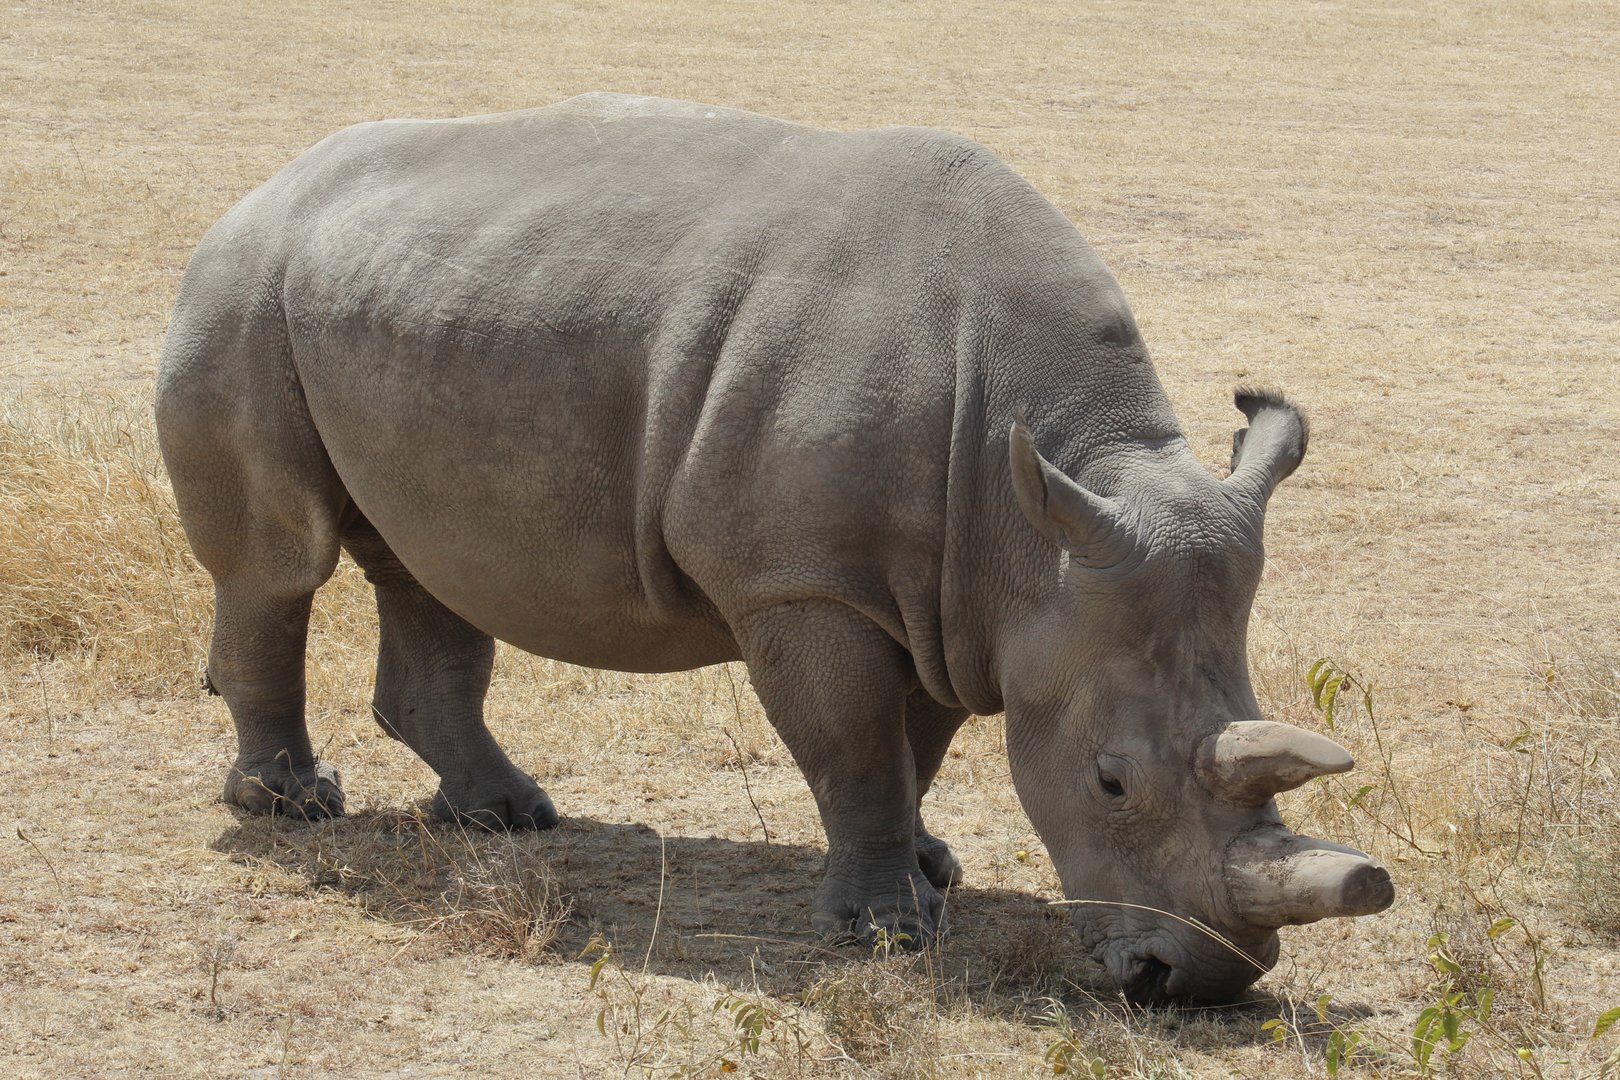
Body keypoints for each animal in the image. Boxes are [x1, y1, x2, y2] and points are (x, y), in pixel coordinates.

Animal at [155, 93, 1392, 1002]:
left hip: (389, 306)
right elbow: (854, 746)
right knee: (282, 562)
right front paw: (886, 931)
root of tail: (258, 190)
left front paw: (932, 872)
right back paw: (293, 807)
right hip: (240, 290)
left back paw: (503, 816)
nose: (1192, 984)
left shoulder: (949, 600)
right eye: (1112, 782)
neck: (1043, 495)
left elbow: (914, 745)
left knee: (425, 565)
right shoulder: (808, 584)